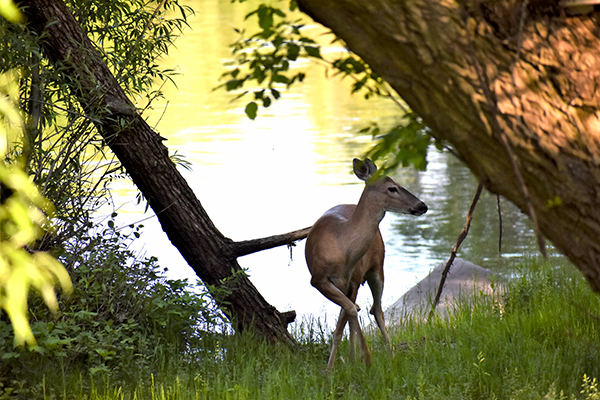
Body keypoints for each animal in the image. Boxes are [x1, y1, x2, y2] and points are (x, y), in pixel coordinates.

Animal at [304, 158, 426, 370]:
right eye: (392, 188)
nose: (422, 205)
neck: (341, 246)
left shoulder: (352, 280)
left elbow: (348, 315)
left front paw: (365, 358)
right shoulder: (318, 279)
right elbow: (348, 314)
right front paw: (331, 369)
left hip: (378, 266)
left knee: (376, 309)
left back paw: (391, 356)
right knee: (359, 310)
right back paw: (354, 359)